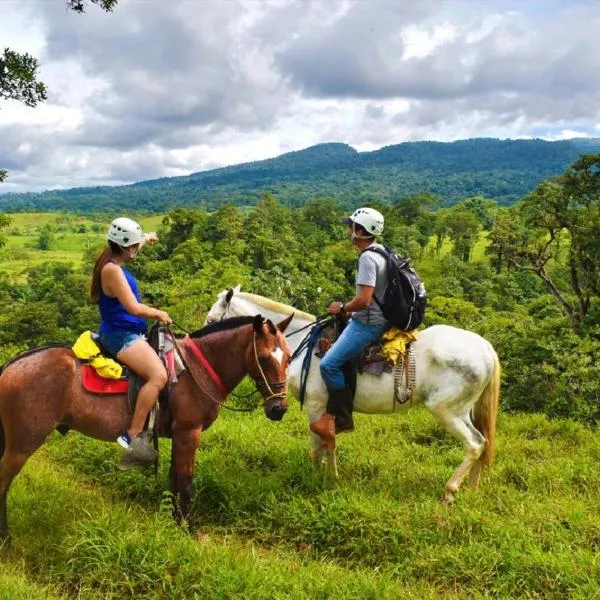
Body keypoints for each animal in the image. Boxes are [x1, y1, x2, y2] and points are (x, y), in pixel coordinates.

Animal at [0, 312, 292, 540]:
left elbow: (174, 479)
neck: (197, 369)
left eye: (289, 358)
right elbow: (186, 481)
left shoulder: (178, 435)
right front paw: (189, 529)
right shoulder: (189, 433)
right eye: (263, 358)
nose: (278, 408)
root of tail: (12, 365)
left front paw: (175, 523)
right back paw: (5, 538)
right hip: (22, 444)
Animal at [207, 286, 502, 502]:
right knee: (482, 441)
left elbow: (318, 444)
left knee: (474, 444)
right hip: (464, 410)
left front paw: (318, 478)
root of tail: (486, 348)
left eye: (211, 319)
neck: (298, 343)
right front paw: (327, 475)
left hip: (447, 411)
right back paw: (472, 490)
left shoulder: (316, 404)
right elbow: (327, 442)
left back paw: (450, 493)